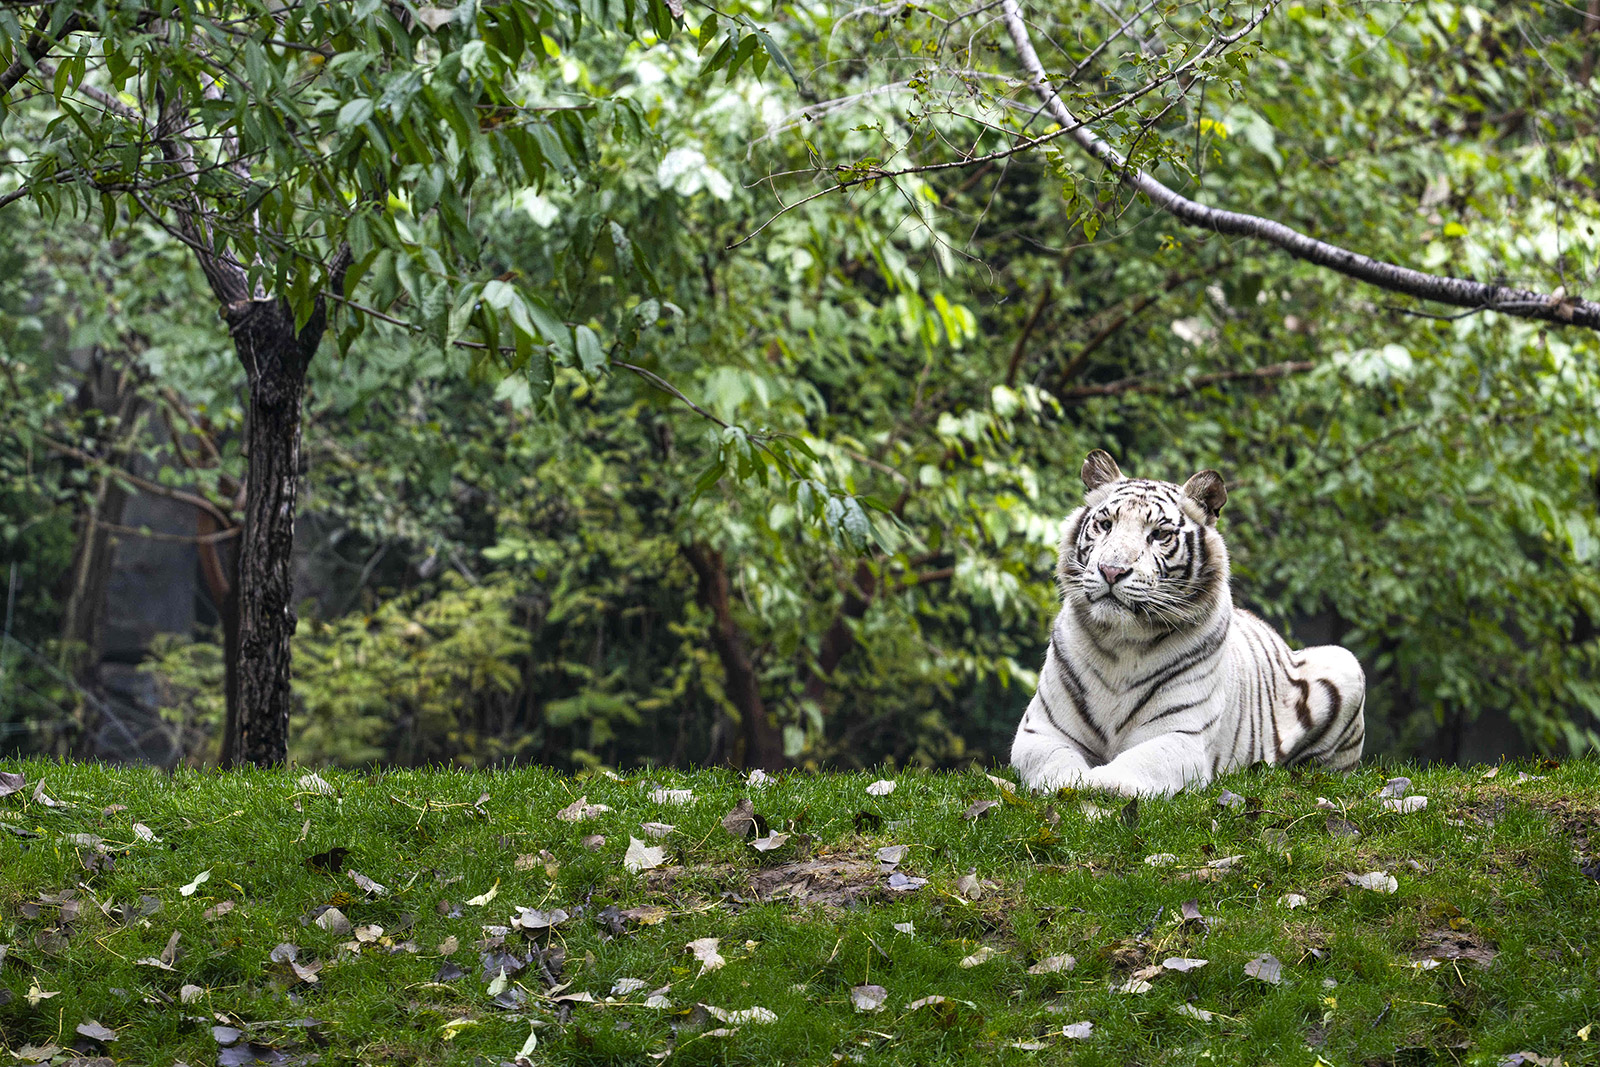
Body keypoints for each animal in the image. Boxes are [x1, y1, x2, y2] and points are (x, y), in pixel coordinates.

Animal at [1010, 449, 1365, 797]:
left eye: (1159, 534)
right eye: (1106, 524)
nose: (1111, 570)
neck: (1121, 643)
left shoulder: (1181, 736)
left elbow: (1135, 764)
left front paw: (1098, 783)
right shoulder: (1038, 730)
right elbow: (1056, 763)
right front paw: (1071, 783)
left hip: (1344, 661)